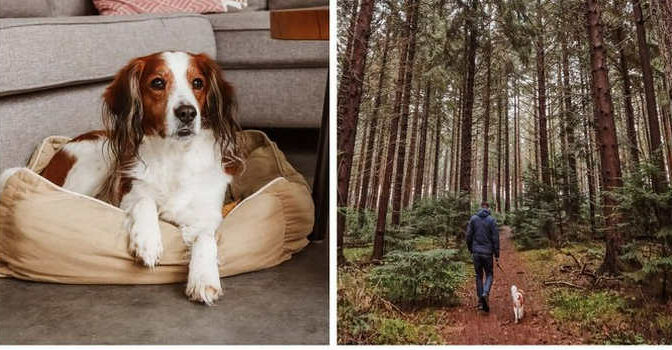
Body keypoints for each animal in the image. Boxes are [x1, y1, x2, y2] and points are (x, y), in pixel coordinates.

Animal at [4, 50, 244, 304]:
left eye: (198, 83)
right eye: (157, 83)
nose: (187, 113)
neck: (175, 155)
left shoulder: (207, 215)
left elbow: (206, 237)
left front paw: (204, 278)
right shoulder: (129, 194)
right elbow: (145, 201)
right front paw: (148, 241)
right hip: (97, 160)